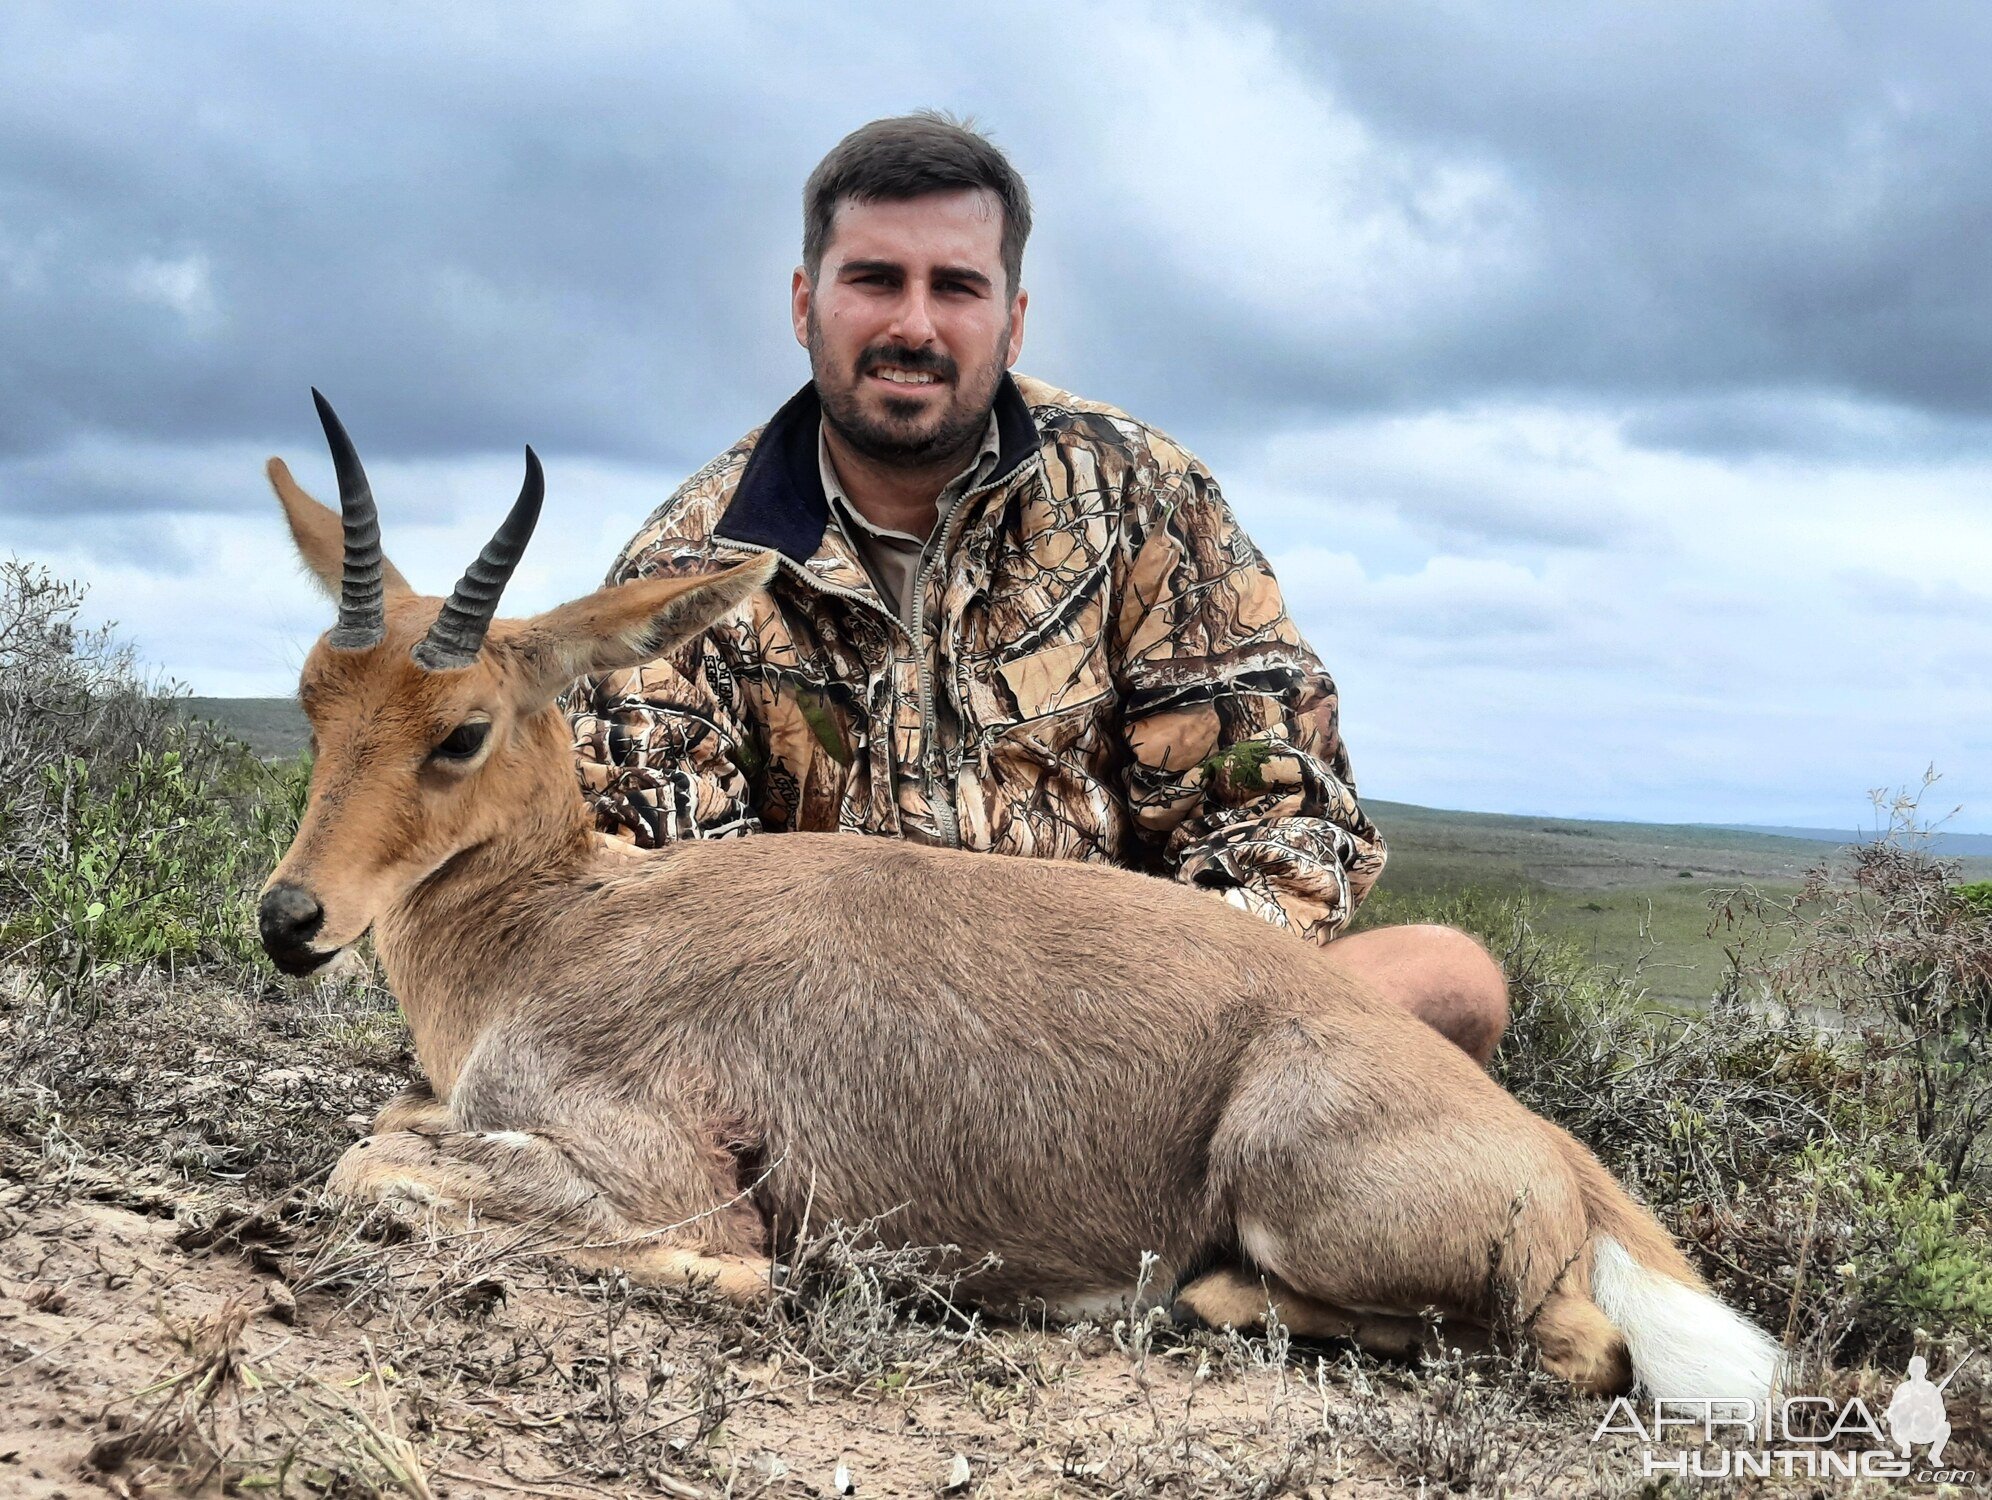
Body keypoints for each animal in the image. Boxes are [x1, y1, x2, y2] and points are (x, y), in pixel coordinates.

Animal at [260, 392, 1776, 1402]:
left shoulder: (661, 1177)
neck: (568, 921)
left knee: (1582, 1349)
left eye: (462, 730)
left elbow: (374, 1167)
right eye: (316, 695)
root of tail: (1557, 1156)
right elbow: (387, 1132)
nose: (290, 921)